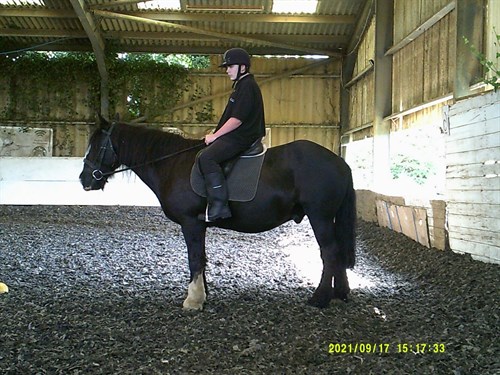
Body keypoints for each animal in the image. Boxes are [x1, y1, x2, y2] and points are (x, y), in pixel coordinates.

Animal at [79, 118, 356, 312]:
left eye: (96, 146)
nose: (84, 179)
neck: (172, 164)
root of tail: (340, 162)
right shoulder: (199, 226)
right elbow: (202, 258)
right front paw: (203, 294)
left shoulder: (191, 223)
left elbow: (194, 259)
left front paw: (193, 300)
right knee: (337, 252)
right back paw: (340, 293)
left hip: (319, 217)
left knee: (330, 252)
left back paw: (320, 298)